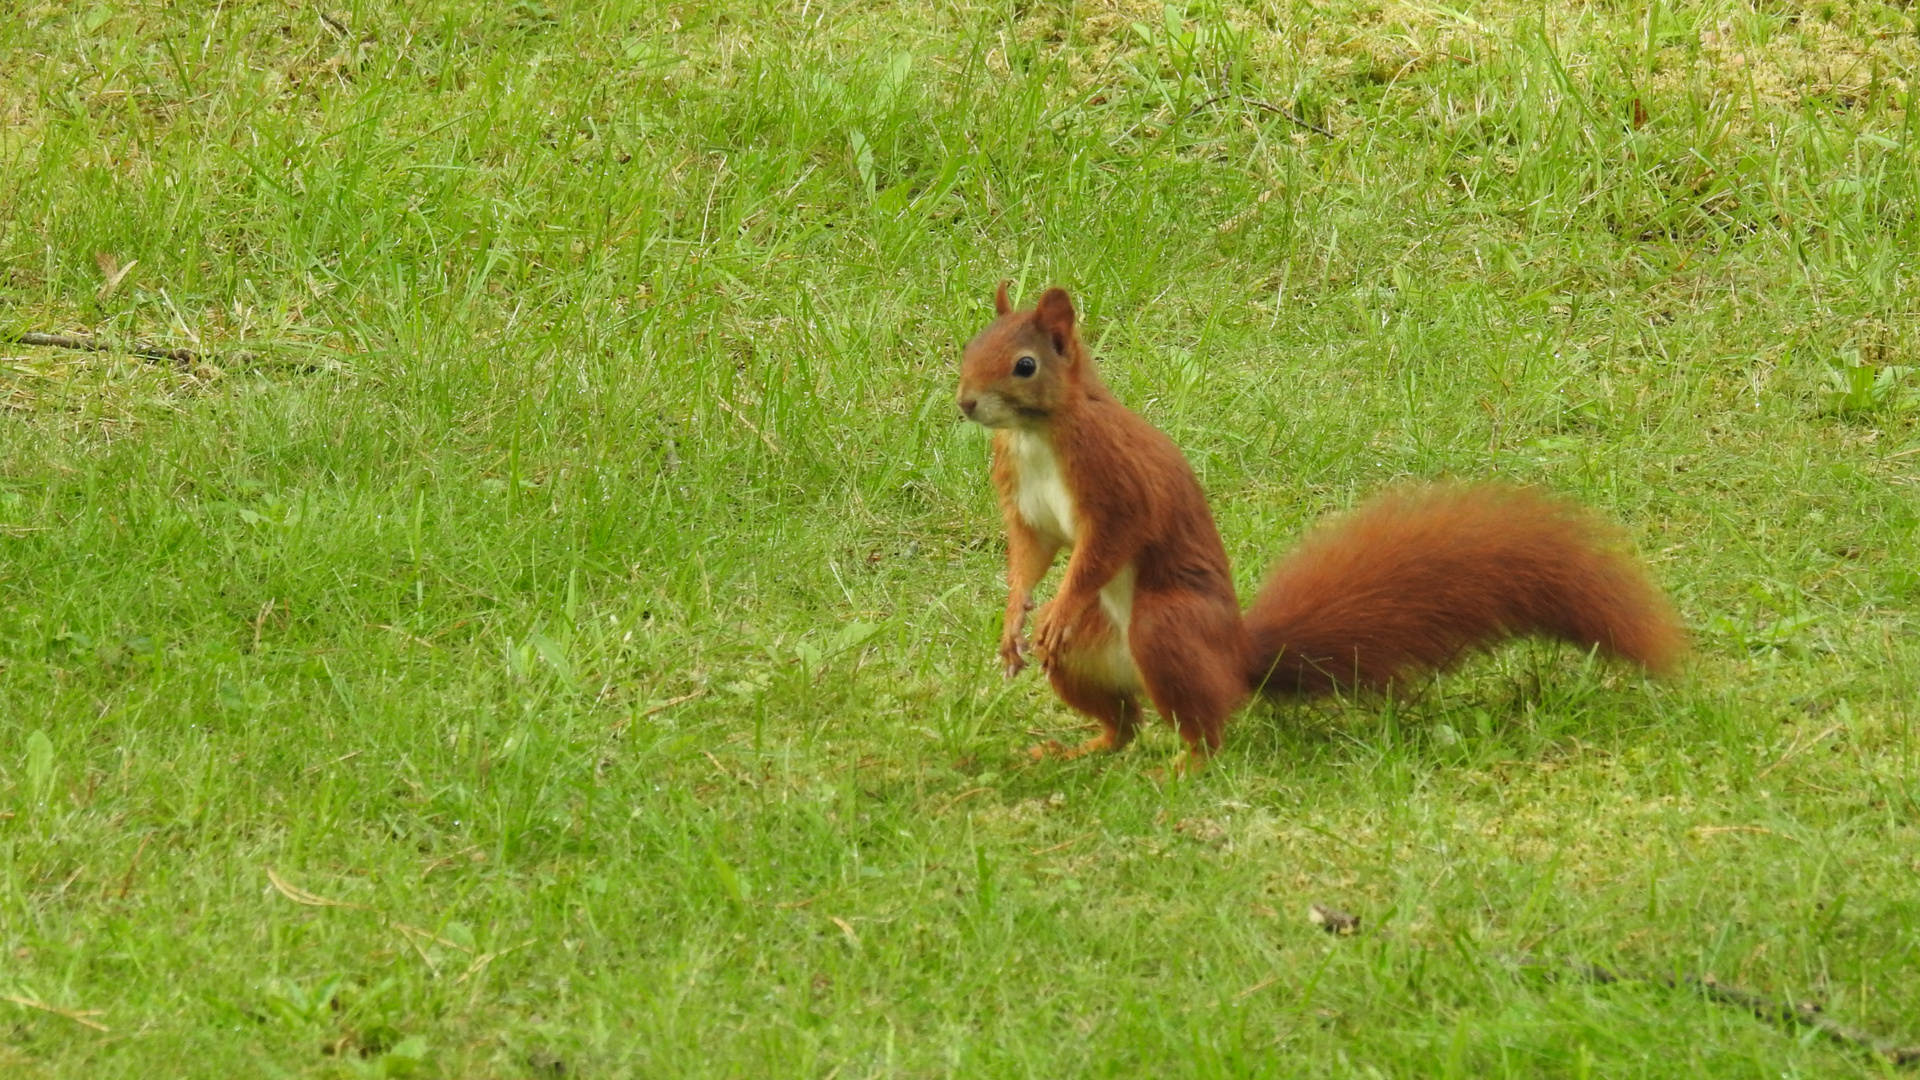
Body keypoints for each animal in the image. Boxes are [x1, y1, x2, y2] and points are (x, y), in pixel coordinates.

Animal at [956, 282, 1681, 760]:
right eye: (970, 346)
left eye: (1025, 364)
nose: (965, 403)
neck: (1038, 434)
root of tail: (1238, 659)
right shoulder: (1025, 499)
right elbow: (1031, 552)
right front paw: (1016, 617)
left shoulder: (1113, 483)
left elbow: (1104, 547)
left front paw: (1054, 606)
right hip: (1089, 656)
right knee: (1125, 724)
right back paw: (1080, 749)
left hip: (1166, 627)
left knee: (1205, 730)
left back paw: (1182, 767)